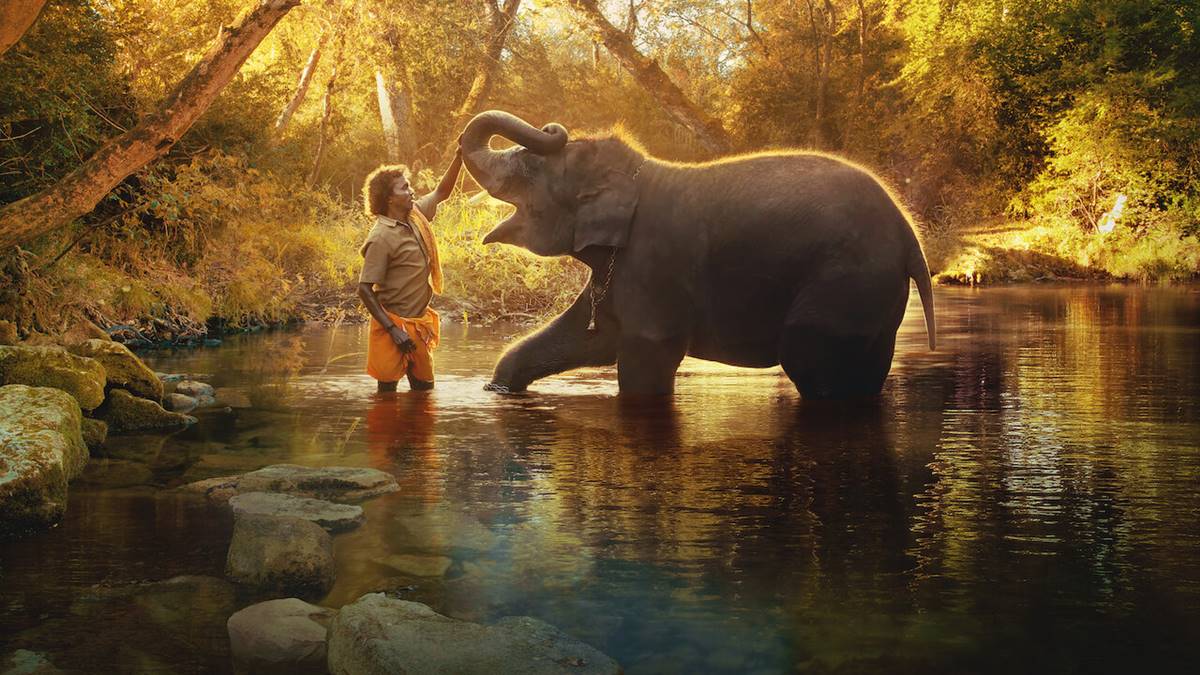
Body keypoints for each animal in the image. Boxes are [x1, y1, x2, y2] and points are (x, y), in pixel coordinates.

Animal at [459, 110, 935, 398]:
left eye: (529, 168)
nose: (553, 128)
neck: (637, 174)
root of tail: (909, 235)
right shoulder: (622, 268)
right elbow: (589, 337)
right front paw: (500, 389)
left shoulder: (653, 263)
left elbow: (645, 358)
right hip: (875, 296)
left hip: (846, 281)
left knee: (808, 358)